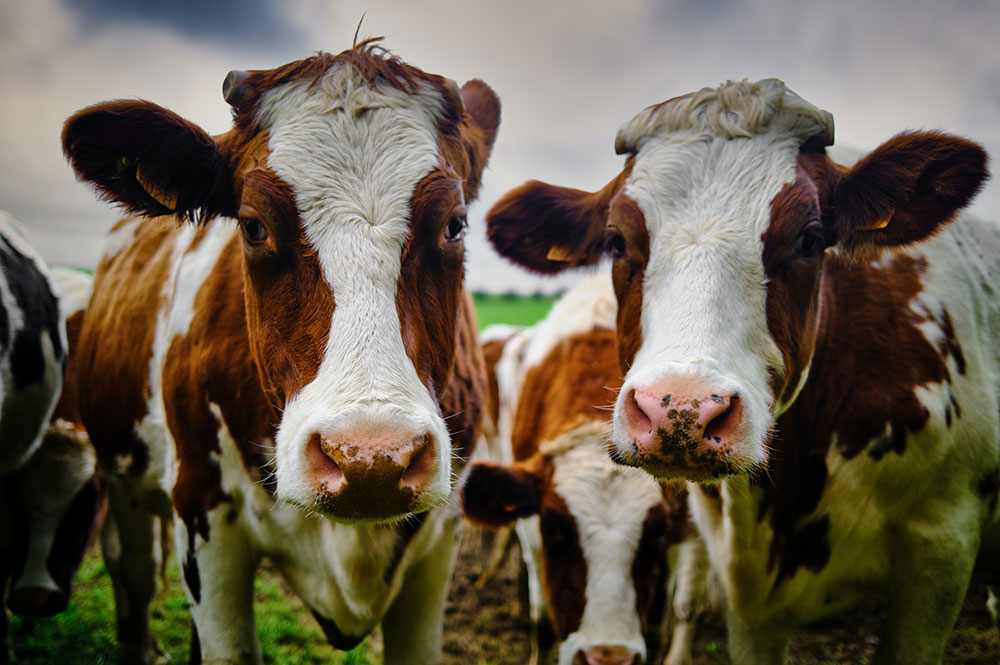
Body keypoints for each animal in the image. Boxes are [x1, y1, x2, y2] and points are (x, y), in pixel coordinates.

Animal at [61, 40, 498, 665]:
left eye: (456, 226)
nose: (370, 460)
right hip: (124, 477)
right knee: (134, 572)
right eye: (252, 226)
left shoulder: (440, 539)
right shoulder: (202, 510)